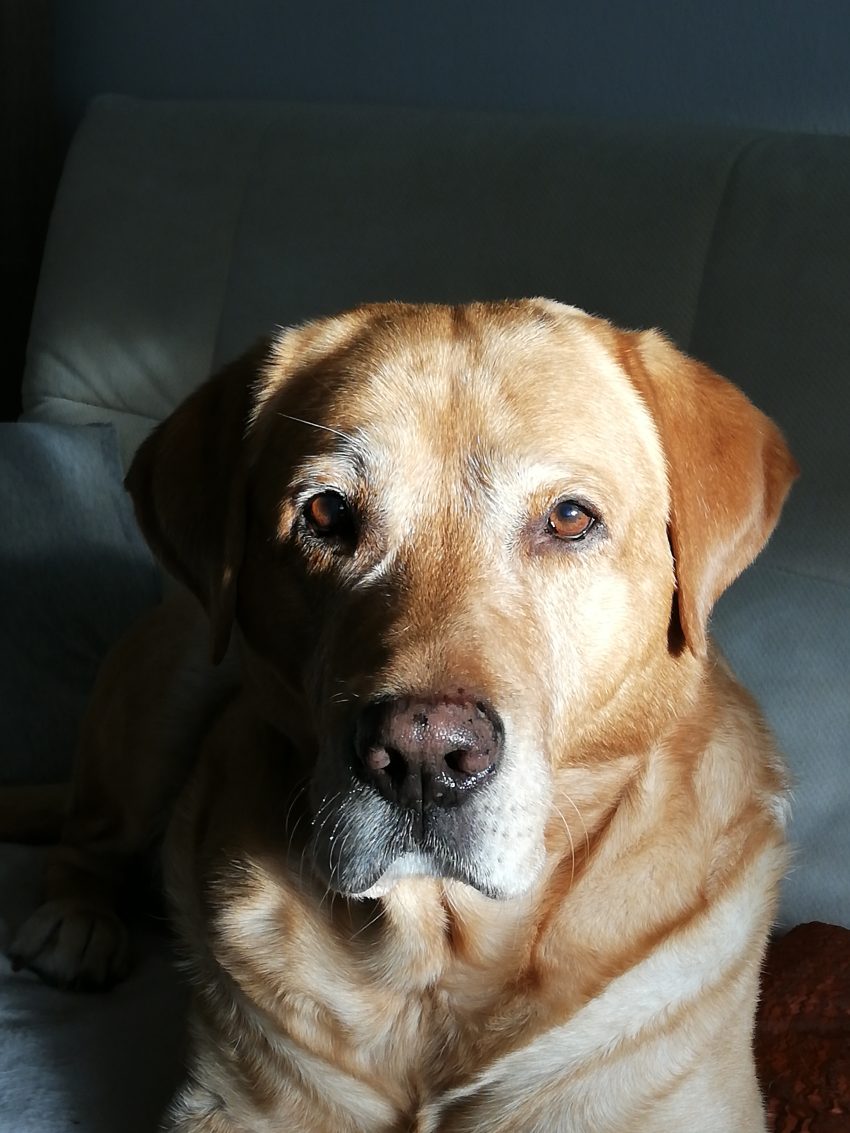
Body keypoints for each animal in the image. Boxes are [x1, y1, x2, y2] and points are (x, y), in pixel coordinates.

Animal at [5, 300, 797, 1131]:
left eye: (570, 518)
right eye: (325, 511)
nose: (423, 756)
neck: (436, 961)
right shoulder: (224, 1107)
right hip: (175, 674)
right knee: (88, 836)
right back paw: (75, 922)